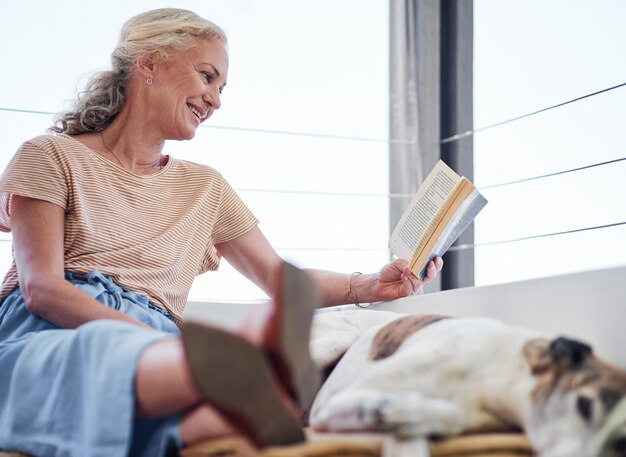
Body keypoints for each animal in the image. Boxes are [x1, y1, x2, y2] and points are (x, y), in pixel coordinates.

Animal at [308, 308, 626, 456]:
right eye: (584, 405)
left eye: (621, 443)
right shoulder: (328, 406)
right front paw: (392, 408)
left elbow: (445, 418)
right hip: (334, 342)